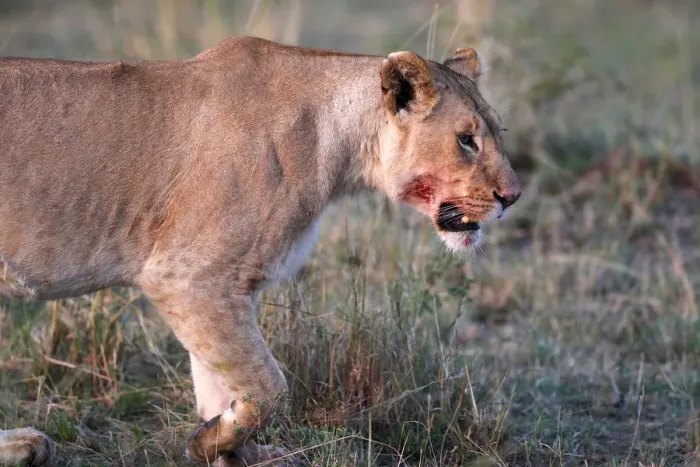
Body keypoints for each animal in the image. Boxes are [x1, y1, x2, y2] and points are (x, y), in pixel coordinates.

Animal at [0, 36, 520, 466]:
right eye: (466, 140)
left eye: (499, 133)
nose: (512, 197)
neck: (338, 146)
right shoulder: (187, 277)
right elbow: (268, 386)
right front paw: (207, 443)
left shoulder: (222, 286)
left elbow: (223, 383)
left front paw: (228, 450)